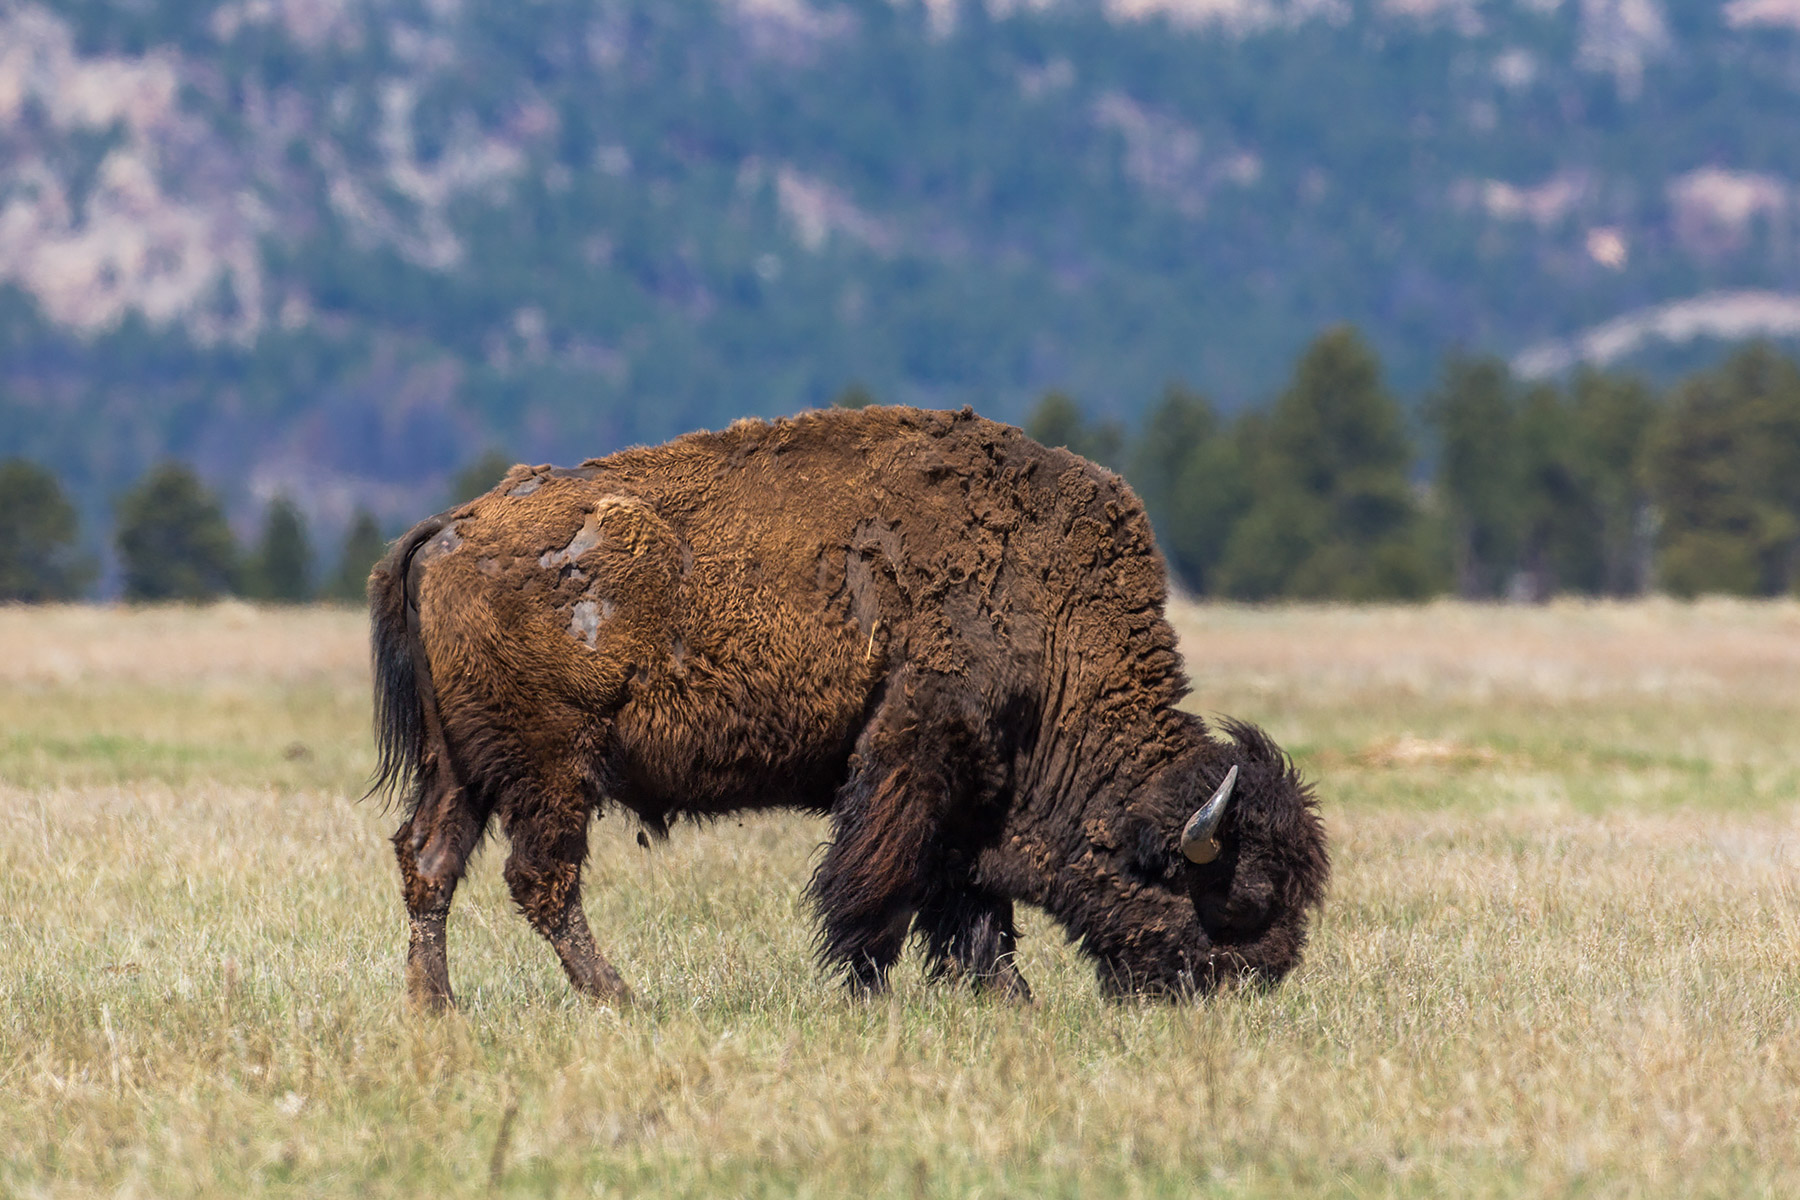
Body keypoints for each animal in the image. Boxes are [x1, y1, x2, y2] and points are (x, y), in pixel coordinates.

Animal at [370, 406, 1328, 1009]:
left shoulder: (972, 791)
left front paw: (1006, 998)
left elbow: (970, 901)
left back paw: (435, 1007)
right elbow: (882, 884)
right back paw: (619, 998)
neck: (1047, 612)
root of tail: (452, 528)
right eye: (1239, 900)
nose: (1243, 990)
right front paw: (872, 989)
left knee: (430, 861)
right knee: (540, 878)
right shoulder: (918, 755)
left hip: (462, 767)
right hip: (550, 767)